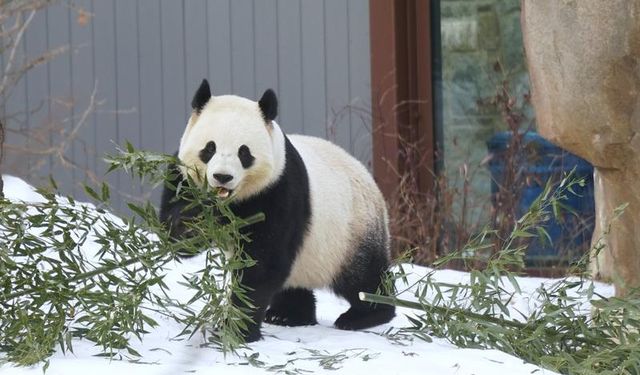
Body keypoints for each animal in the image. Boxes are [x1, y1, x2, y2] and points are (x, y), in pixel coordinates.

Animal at [160, 80, 396, 344]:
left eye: (244, 152)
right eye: (209, 148)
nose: (223, 176)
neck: (230, 203)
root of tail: (370, 181)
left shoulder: (278, 191)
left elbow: (262, 263)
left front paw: (237, 330)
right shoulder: (181, 177)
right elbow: (176, 234)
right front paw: (190, 227)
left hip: (351, 232)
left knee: (363, 278)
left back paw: (364, 315)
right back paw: (287, 315)